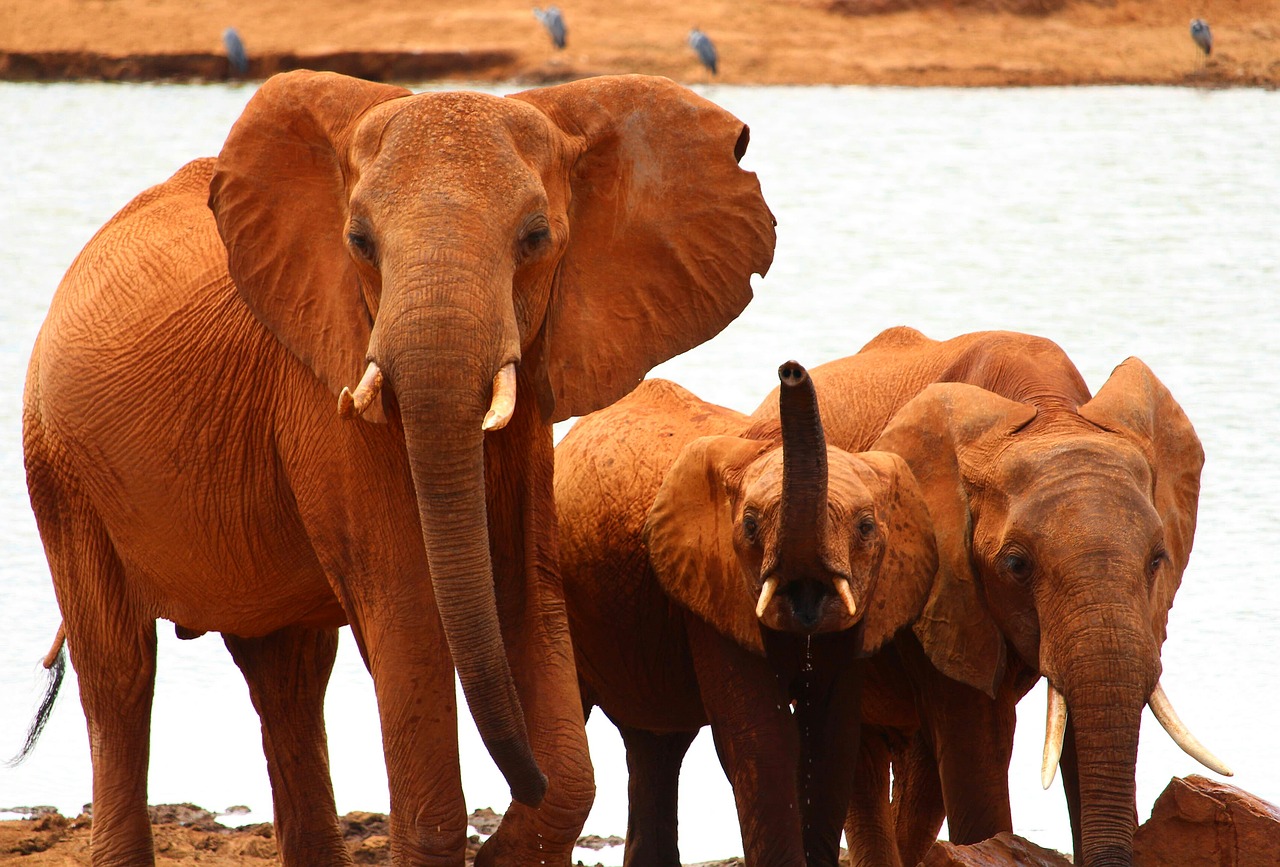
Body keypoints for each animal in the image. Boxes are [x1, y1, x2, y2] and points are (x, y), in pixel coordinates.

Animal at [20, 69, 773, 865]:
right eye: (359, 242)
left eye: (536, 238)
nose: (522, 781)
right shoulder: (326, 390)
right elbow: (408, 605)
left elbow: (523, 590)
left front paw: (516, 834)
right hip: (58, 464)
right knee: (121, 669)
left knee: (287, 676)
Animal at [555, 361, 936, 865]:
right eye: (750, 525)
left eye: (867, 527)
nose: (790, 371)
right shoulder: (712, 591)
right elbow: (763, 740)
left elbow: (831, 741)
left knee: (656, 744)